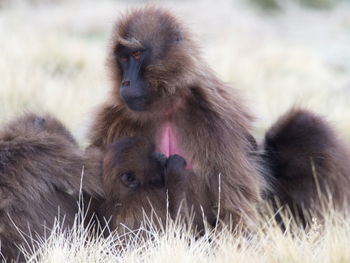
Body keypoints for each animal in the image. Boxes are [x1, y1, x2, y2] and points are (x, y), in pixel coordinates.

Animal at [89, 6, 264, 231]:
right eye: (123, 59)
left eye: (136, 54)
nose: (126, 82)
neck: (166, 106)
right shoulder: (111, 118)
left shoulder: (220, 120)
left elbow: (233, 203)